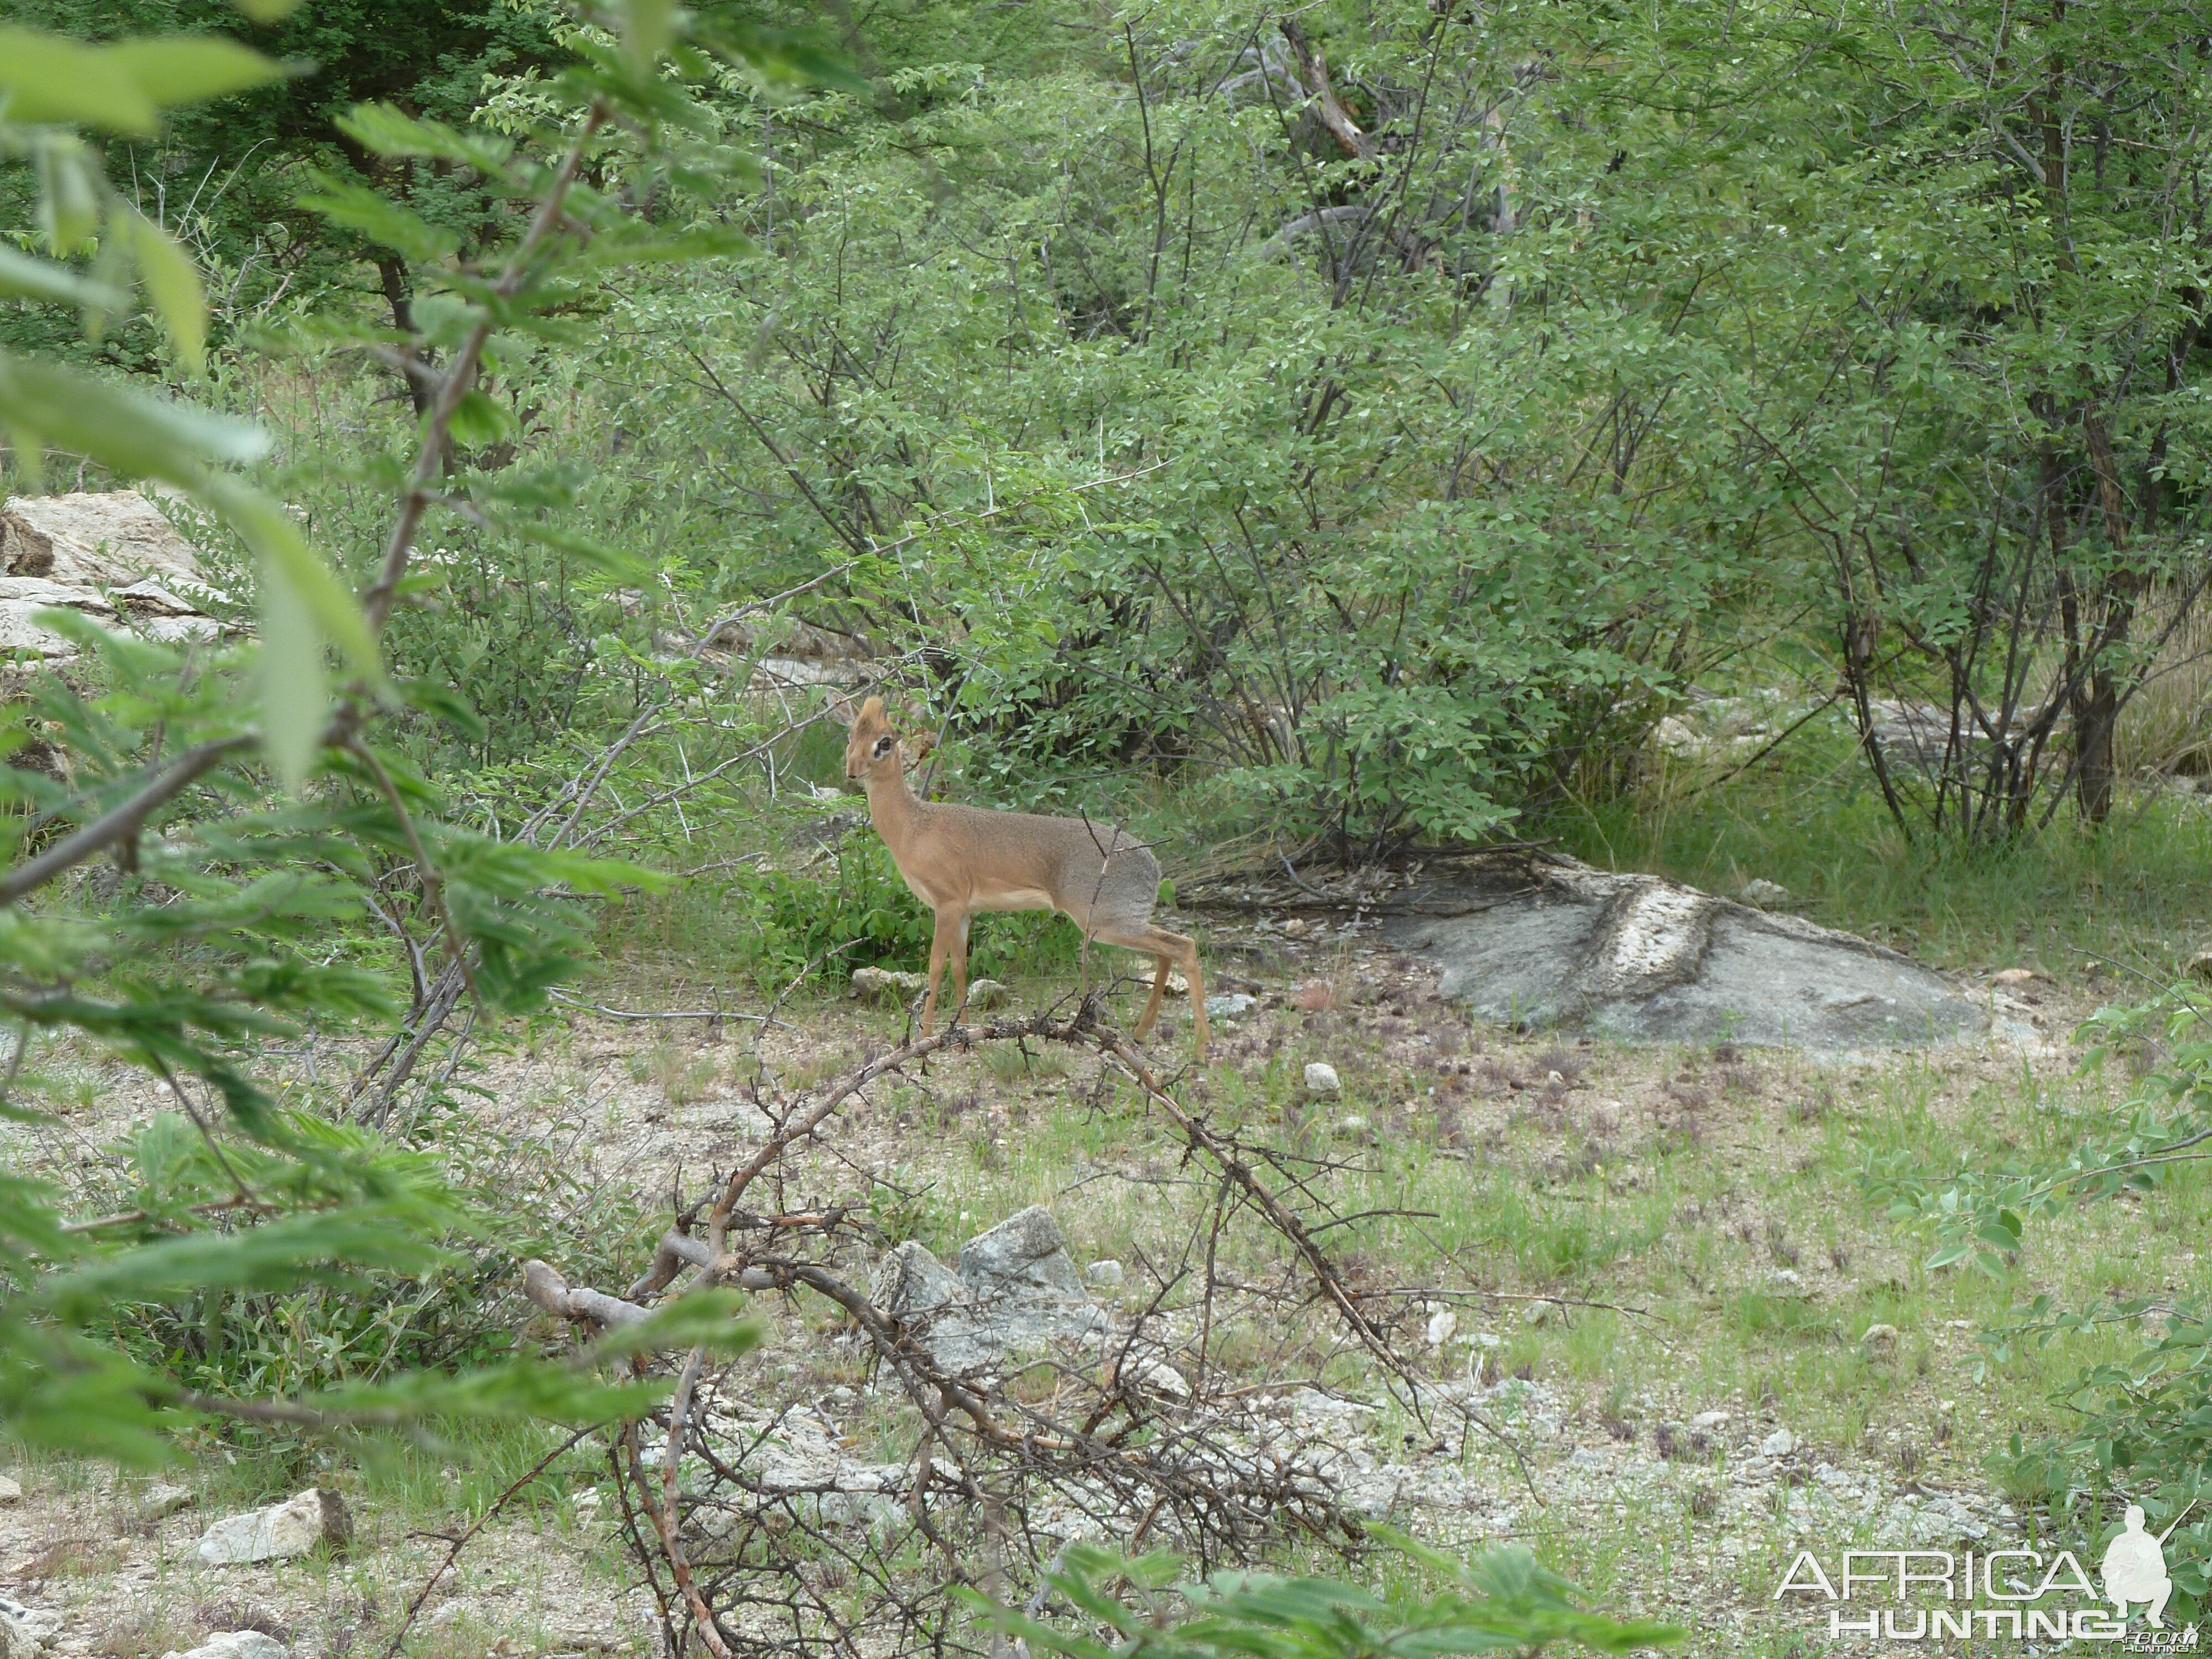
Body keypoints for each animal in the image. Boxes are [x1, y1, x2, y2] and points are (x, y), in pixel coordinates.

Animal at [832, 695, 1212, 1057]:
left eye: (885, 742)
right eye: (851, 736)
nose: (851, 771)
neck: (913, 827)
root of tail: (1153, 865)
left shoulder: (947, 904)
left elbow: (936, 968)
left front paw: (925, 1039)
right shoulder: (964, 912)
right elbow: (960, 968)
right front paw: (963, 1035)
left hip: (1105, 922)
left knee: (1184, 946)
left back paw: (1200, 1051)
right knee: (1169, 950)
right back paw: (1143, 1032)